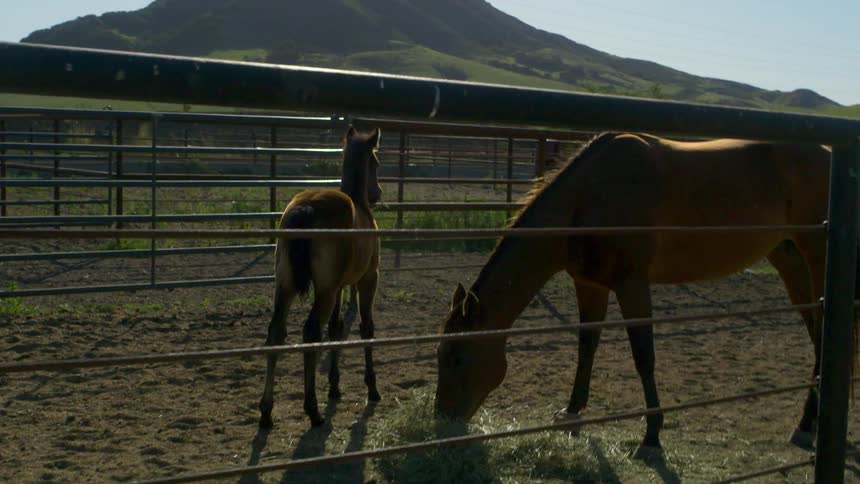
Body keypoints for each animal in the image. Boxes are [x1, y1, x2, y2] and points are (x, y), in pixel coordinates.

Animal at [259, 127, 383, 429]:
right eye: (376, 162)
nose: (377, 193)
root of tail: (307, 208)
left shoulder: (338, 287)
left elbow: (336, 329)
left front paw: (335, 387)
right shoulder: (367, 279)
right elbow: (366, 328)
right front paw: (372, 388)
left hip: (286, 285)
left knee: (276, 332)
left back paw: (266, 411)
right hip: (324, 291)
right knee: (311, 331)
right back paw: (312, 410)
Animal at [434, 132, 860, 456]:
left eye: (457, 357)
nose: (443, 422)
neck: (588, 198)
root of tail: (829, 154)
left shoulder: (632, 284)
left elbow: (644, 356)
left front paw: (652, 436)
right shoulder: (590, 285)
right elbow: (586, 347)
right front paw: (571, 414)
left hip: (816, 257)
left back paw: (806, 424)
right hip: (789, 259)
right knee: (818, 336)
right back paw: (809, 422)